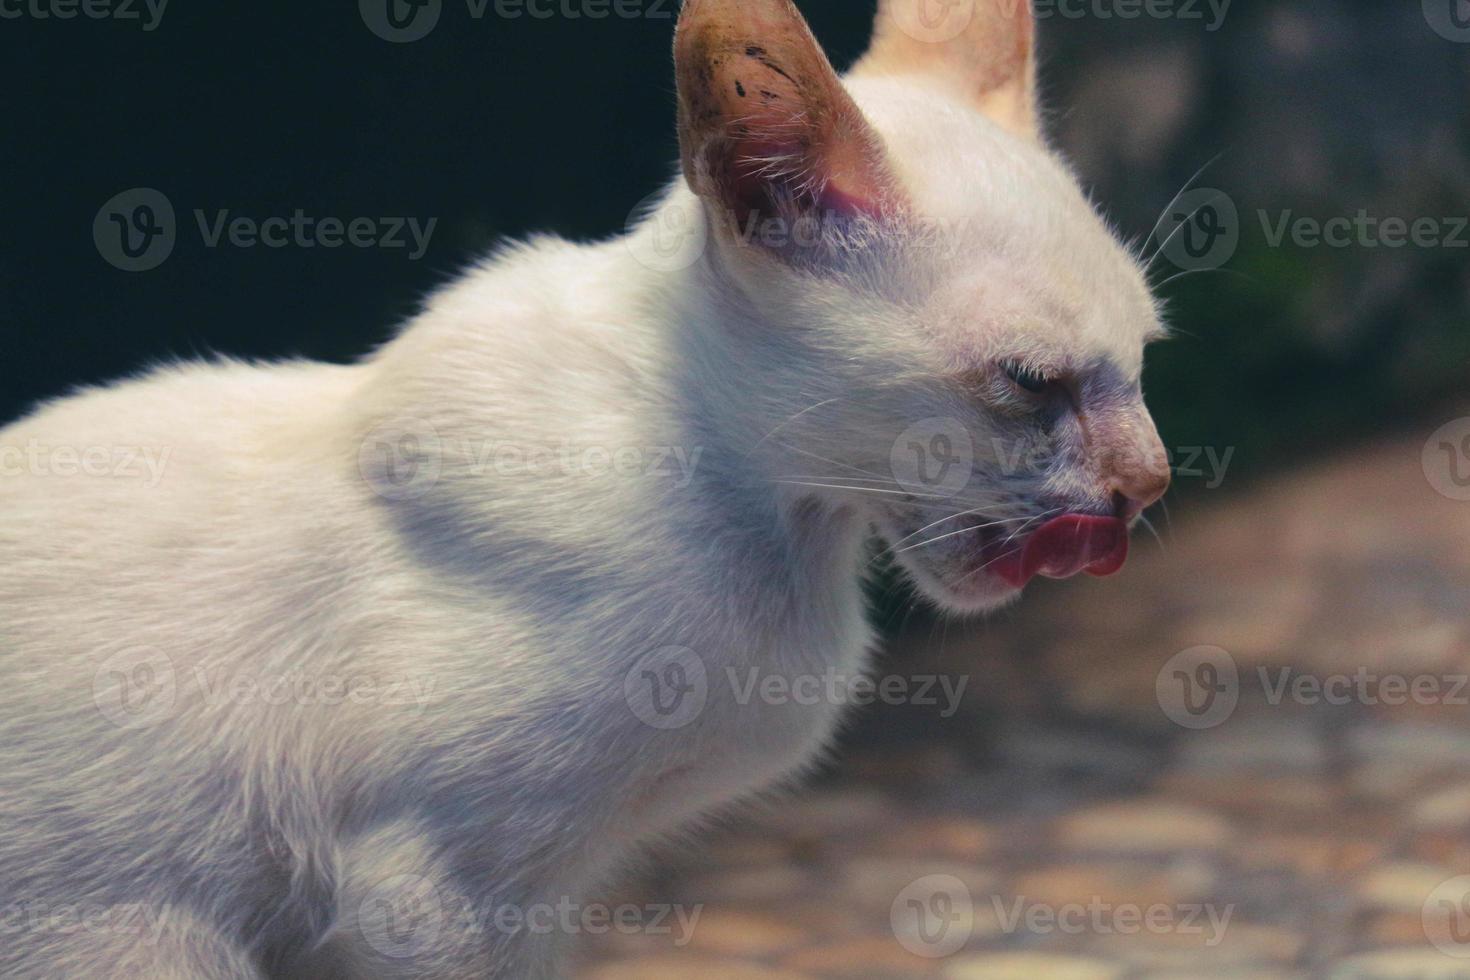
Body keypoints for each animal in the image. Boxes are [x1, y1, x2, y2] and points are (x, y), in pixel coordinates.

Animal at [0, 1, 1170, 975]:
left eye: (1146, 355)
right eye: (1029, 383)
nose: (1149, 482)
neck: (775, 536)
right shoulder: (432, 889)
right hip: (147, 940)